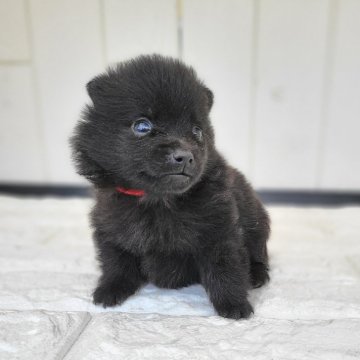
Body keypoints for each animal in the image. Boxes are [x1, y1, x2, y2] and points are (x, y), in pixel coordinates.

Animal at [70, 54, 268, 320]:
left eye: (197, 131)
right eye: (142, 126)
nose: (184, 156)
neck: (159, 200)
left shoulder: (220, 229)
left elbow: (225, 268)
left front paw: (234, 305)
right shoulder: (109, 227)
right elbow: (116, 261)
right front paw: (110, 290)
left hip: (257, 223)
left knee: (259, 253)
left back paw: (256, 276)